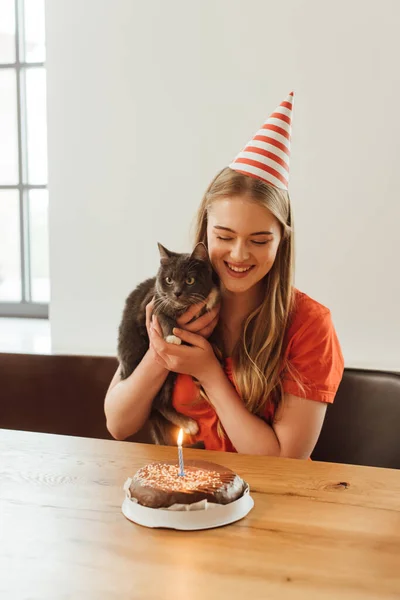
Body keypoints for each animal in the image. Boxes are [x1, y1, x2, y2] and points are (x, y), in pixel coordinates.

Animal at [117, 243, 220, 446]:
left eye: (189, 280)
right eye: (169, 280)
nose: (177, 292)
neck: (182, 308)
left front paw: (211, 296)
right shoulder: (150, 305)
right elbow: (163, 316)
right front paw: (172, 336)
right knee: (158, 403)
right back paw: (189, 424)